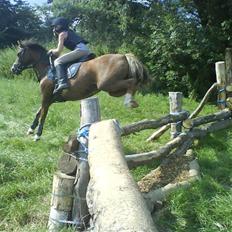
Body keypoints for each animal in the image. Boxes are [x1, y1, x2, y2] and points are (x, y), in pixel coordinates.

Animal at [10, 40, 149, 140]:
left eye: (19, 54)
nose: (13, 69)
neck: (47, 68)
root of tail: (123, 56)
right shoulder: (50, 98)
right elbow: (39, 112)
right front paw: (31, 129)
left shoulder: (46, 95)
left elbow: (43, 113)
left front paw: (37, 135)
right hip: (113, 90)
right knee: (132, 83)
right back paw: (131, 101)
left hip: (107, 84)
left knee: (132, 82)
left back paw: (129, 102)